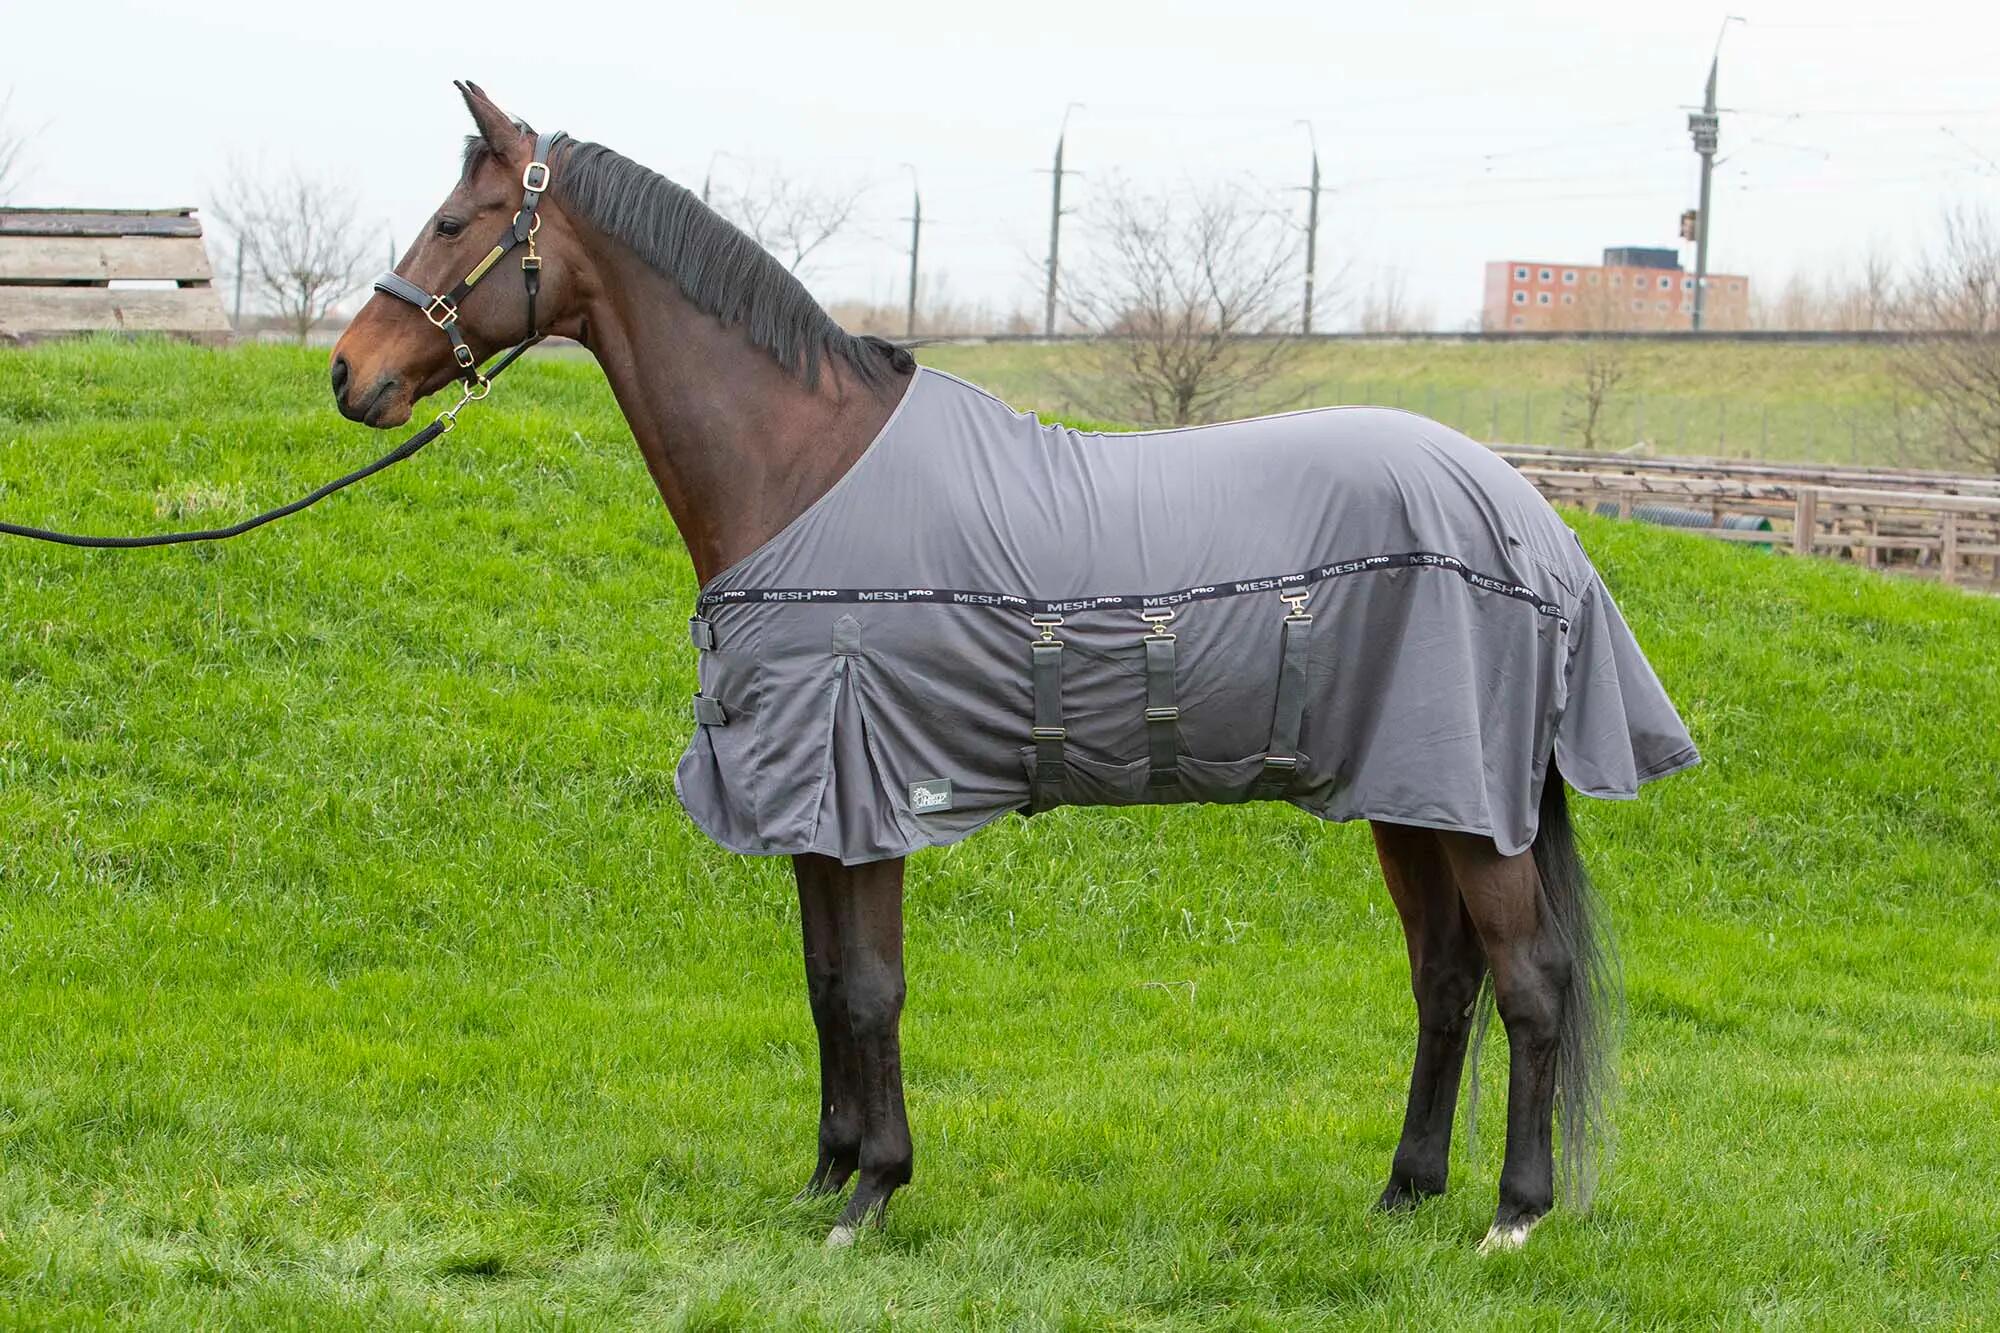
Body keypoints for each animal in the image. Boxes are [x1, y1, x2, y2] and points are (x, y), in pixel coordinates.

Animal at [329, 83, 1696, 1253]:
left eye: (454, 222)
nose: (351, 372)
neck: (803, 468)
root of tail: (1527, 517)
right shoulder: (813, 801)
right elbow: (822, 981)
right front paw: (823, 1173)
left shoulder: (862, 787)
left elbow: (870, 988)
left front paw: (870, 1193)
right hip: (1412, 796)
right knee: (1444, 980)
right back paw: (1404, 1191)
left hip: (1468, 803)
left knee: (1529, 982)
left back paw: (1511, 1213)